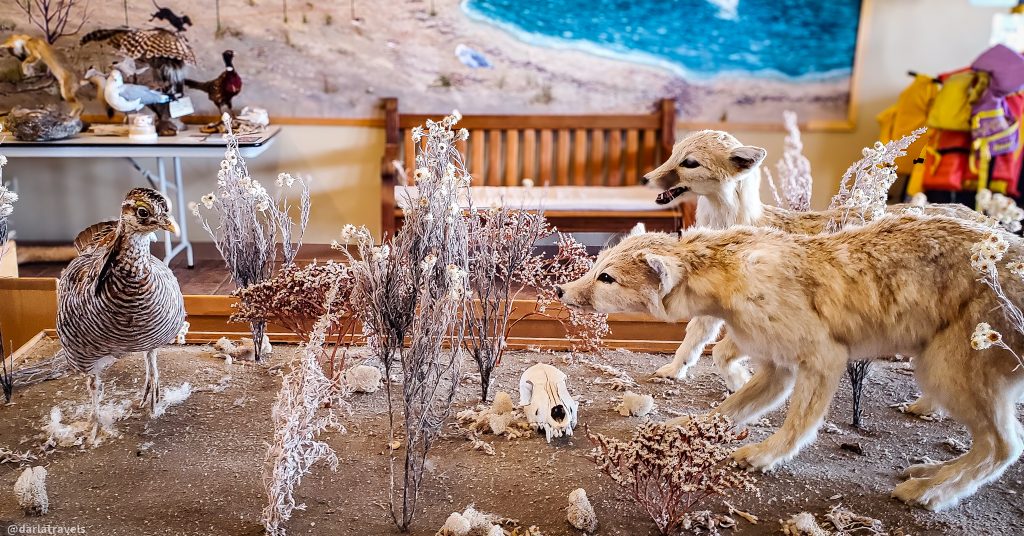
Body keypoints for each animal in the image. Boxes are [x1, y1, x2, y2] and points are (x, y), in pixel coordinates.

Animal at [561, 215, 1024, 512]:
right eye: (596, 266)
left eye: (606, 278)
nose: (562, 291)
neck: (729, 270)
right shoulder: (776, 367)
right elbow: (724, 408)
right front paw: (680, 428)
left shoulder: (822, 358)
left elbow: (798, 423)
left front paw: (766, 455)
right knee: (993, 444)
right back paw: (929, 473)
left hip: (943, 373)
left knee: (1005, 445)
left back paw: (933, 493)